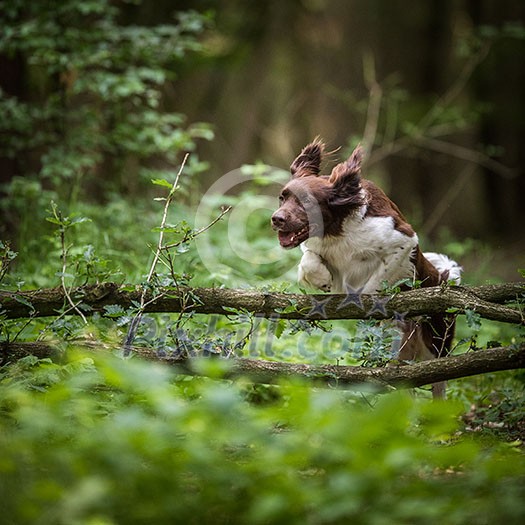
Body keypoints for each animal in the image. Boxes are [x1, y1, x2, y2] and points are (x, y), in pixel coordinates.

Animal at [272, 139, 460, 398]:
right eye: (282, 198)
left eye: (307, 202)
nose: (276, 219)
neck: (337, 229)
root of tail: (444, 279)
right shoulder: (316, 248)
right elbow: (308, 261)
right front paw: (322, 280)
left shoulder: (403, 239)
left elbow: (374, 283)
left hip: (436, 341)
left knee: (438, 382)